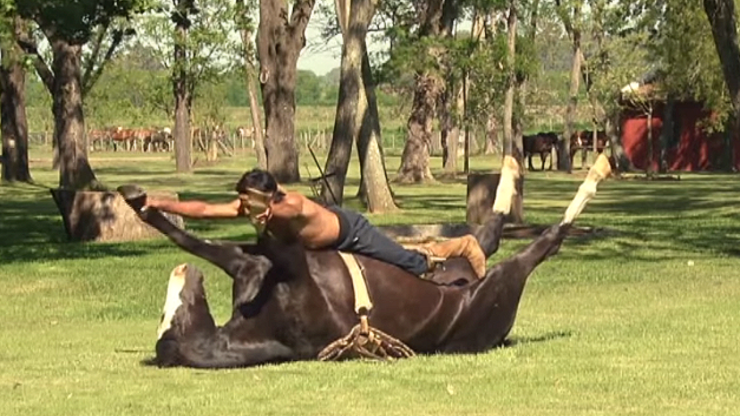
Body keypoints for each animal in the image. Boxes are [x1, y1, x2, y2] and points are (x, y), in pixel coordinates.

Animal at [117, 155, 612, 368]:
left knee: (484, 236)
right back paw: (591, 172)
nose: (181, 277)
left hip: (469, 268)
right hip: (501, 282)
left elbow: (202, 240)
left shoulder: (254, 262)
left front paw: (142, 203)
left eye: (170, 313)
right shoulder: (283, 263)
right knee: (539, 242)